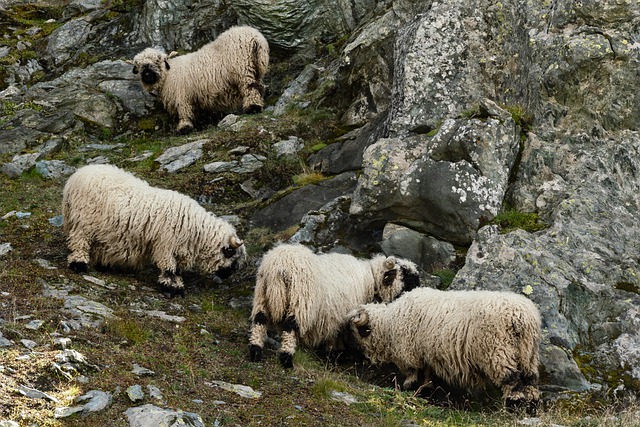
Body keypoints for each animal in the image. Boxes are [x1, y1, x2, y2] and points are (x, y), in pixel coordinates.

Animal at [61, 165, 245, 298]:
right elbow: (169, 268)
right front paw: (172, 288)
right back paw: (79, 264)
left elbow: (176, 269)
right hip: (83, 223)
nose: (228, 275)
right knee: (79, 242)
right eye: (230, 254)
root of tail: (77, 175)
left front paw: (176, 285)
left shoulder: (178, 250)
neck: (196, 230)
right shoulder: (166, 246)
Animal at [131, 25, 268, 133]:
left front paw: (184, 127)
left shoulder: (182, 95)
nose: (147, 74)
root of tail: (256, 37)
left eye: (157, 61)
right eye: (139, 65)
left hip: (243, 67)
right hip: (256, 68)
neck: (168, 74)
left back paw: (252, 107)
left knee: (250, 87)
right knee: (259, 87)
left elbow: (184, 111)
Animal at [246, 244, 420, 372]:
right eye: (407, 277)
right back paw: (286, 359)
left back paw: (255, 351)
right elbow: (338, 337)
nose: (416, 293)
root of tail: (279, 265)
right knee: (290, 327)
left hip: (261, 295)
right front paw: (336, 355)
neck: (371, 281)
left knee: (259, 321)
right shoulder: (343, 316)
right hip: (301, 302)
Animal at [350, 288, 540, 412]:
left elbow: (413, 373)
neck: (389, 324)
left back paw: (513, 406)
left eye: (359, 331)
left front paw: (408, 387)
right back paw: (531, 407)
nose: (356, 355)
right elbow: (426, 374)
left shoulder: (410, 353)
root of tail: (520, 316)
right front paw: (425, 389)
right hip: (528, 353)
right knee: (530, 381)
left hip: (498, 351)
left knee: (512, 381)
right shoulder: (425, 354)